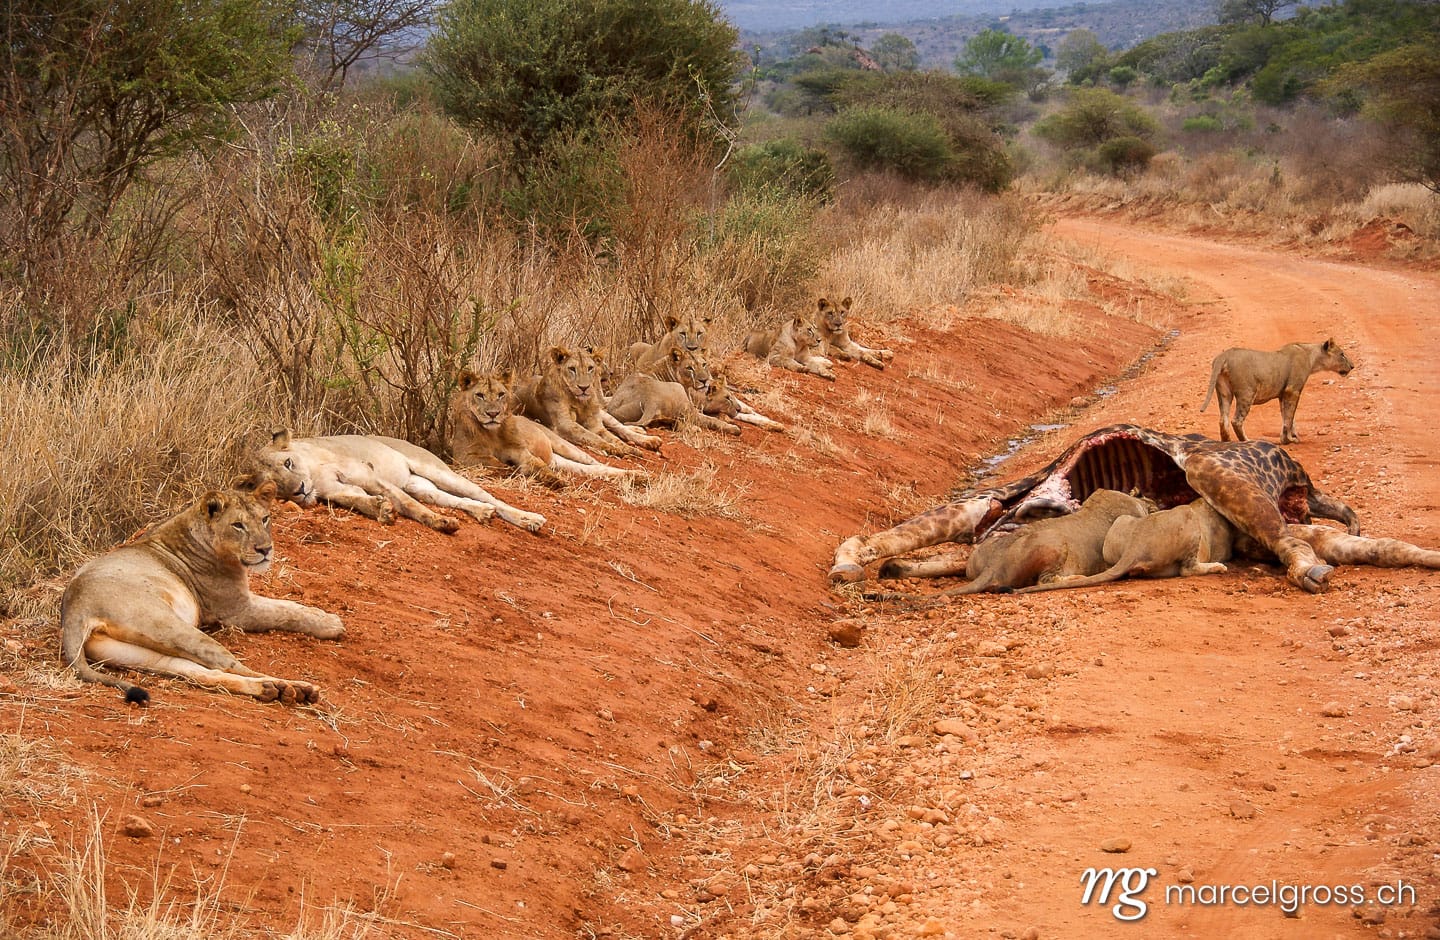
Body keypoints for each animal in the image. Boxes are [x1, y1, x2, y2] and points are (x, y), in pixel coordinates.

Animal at [60, 480, 343, 705]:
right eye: (238, 525)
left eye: (265, 519)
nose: (265, 549)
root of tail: (75, 608)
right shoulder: (236, 610)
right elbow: (284, 611)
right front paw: (331, 624)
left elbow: (290, 605)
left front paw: (321, 614)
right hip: (167, 625)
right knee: (230, 664)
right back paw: (292, 688)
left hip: (135, 652)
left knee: (201, 672)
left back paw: (272, 689)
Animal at [256, 430, 545, 533]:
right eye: (276, 488)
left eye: (288, 463)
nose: (299, 491)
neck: (313, 473)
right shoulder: (338, 491)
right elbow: (357, 500)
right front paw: (381, 510)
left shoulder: (371, 477)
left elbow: (409, 505)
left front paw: (440, 522)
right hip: (420, 485)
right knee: (453, 499)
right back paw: (482, 513)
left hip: (436, 471)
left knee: (490, 497)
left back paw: (530, 519)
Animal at [449, 370, 641, 486]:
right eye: (480, 395)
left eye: (501, 394)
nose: (493, 414)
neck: (492, 433)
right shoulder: (463, 457)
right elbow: (494, 462)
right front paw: (510, 468)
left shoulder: (521, 451)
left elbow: (537, 464)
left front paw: (555, 481)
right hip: (562, 461)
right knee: (589, 469)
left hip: (563, 445)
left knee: (596, 463)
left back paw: (638, 472)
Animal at [517, 345, 661, 458]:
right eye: (572, 369)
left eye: (590, 368)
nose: (584, 388)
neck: (580, 403)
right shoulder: (564, 424)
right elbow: (592, 436)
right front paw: (613, 449)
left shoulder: (595, 424)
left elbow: (613, 438)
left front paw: (629, 449)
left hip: (603, 414)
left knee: (619, 427)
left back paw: (648, 439)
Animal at [1200, 338, 1354, 443]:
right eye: (1342, 354)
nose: (1352, 366)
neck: (1311, 357)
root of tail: (1224, 355)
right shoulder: (1293, 390)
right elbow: (1290, 417)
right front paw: (1290, 440)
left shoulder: (1283, 394)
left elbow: (1286, 416)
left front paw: (1288, 437)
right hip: (1246, 393)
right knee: (1236, 421)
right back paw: (1247, 441)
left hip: (1224, 392)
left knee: (1223, 420)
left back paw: (1227, 441)